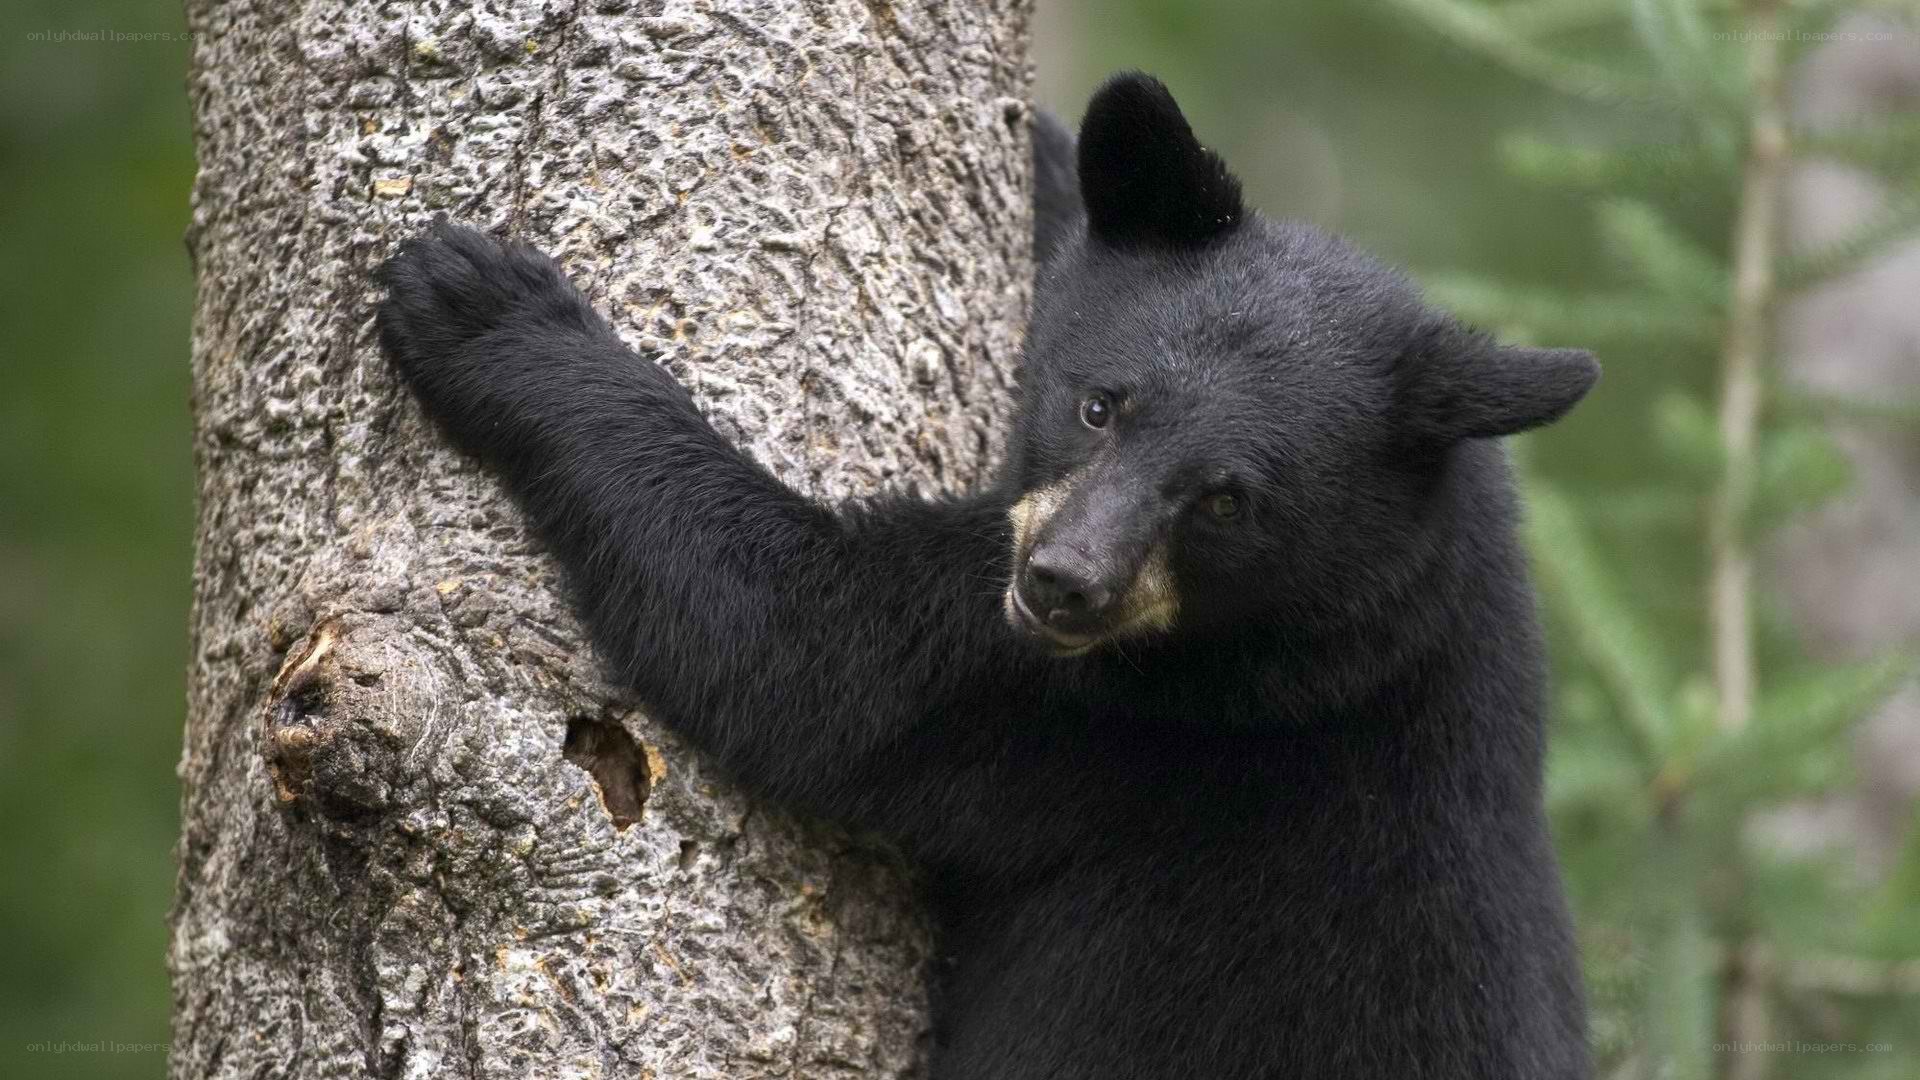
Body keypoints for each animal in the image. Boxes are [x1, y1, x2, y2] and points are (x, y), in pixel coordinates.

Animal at [376, 72, 1597, 1080]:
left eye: (1226, 500)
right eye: (1100, 404)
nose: (1064, 582)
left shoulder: (1142, 716)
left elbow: (806, 654)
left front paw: (485, 309)